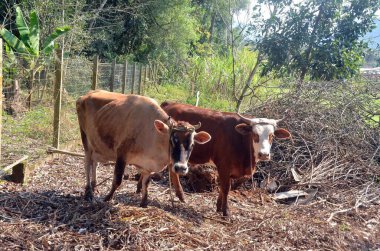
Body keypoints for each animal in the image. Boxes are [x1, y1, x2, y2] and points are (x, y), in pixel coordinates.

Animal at [74, 91, 211, 207]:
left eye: (192, 145)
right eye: (172, 140)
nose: (180, 168)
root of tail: (86, 95)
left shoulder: (147, 164)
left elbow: (146, 182)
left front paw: (144, 202)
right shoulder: (122, 154)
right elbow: (117, 179)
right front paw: (107, 198)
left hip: (97, 144)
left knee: (94, 163)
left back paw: (94, 186)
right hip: (85, 138)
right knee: (87, 163)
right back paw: (88, 192)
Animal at [160, 102, 290, 216]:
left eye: (271, 136)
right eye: (255, 135)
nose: (263, 154)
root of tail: (169, 103)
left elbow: (225, 188)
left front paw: (219, 206)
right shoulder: (224, 165)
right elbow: (226, 188)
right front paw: (226, 211)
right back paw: (181, 195)